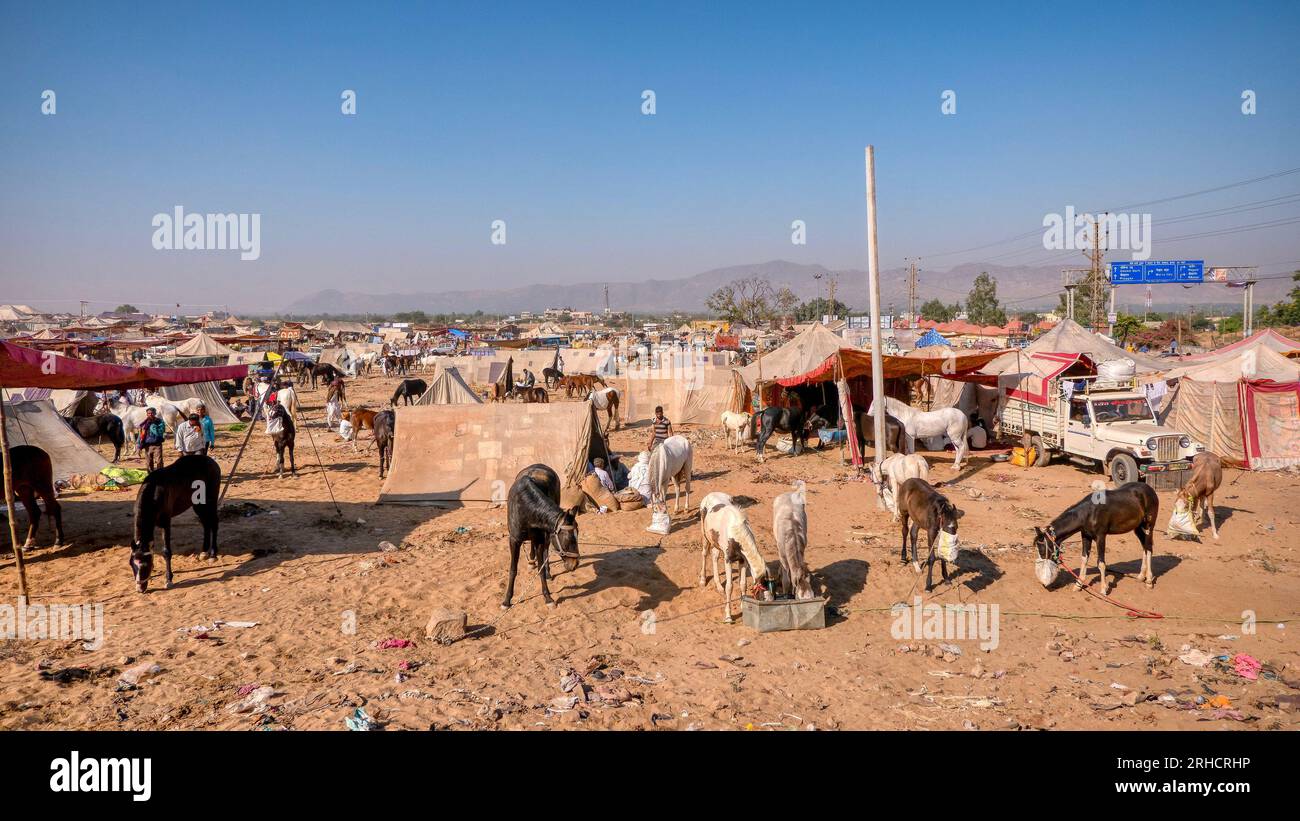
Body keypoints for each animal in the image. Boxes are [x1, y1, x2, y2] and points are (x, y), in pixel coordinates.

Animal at [130, 452, 220, 592]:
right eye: (132, 565)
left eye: (145, 564)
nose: (140, 589)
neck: (154, 492)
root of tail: (211, 461)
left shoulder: (165, 522)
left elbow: (166, 551)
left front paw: (169, 579)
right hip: (198, 504)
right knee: (206, 523)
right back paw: (204, 552)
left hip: (210, 500)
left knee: (214, 523)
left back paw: (213, 554)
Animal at [499, 462, 577, 610]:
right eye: (568, 539)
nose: (575, 564)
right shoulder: (514, 540)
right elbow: (513, 570)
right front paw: (506, 600)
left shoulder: (541, 538)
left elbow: (541, 567)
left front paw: (548, 597)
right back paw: (531, 560)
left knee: (545, 550)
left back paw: (547, 572)